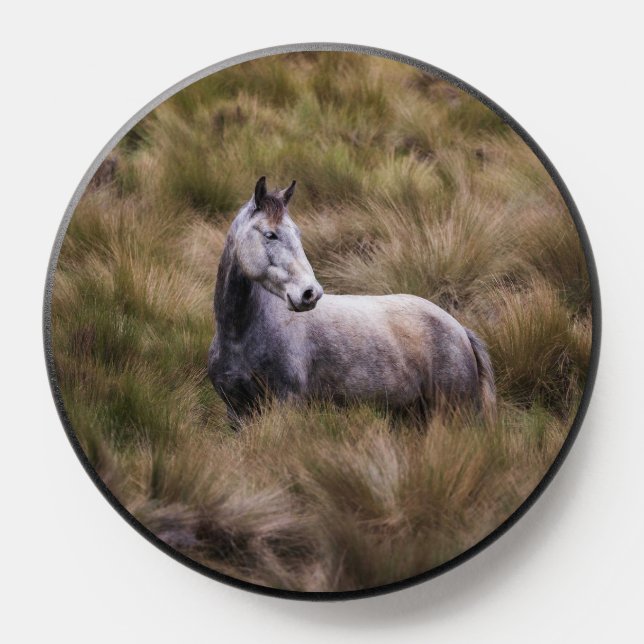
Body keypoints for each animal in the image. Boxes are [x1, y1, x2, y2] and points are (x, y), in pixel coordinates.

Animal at [207, 177, 496, 427]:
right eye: (270, 235)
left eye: (298, 234)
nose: (310, 293)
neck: (240, 335)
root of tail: (459, 329)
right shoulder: (236, 411)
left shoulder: (286, 404)